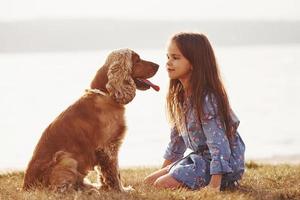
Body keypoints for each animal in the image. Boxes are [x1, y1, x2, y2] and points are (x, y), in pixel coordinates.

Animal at [22, 48, 159, 192]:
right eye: (137, 60)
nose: (158, 65)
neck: (106, 95)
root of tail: (26, 187)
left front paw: (106, 187)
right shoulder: (108, 146)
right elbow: (114, 172)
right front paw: (121, 190)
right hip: (67, 159)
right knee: (60, 189)